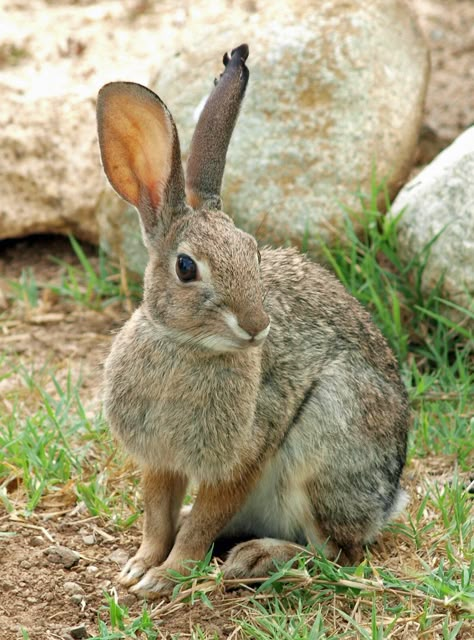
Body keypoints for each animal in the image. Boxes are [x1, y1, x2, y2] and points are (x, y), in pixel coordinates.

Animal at [95, 42, 408, 596]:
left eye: (254, 253)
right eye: (186, 267)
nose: (257, 325)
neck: (184, 346)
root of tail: (387, 503)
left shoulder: (245, 454)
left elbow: (202, 523)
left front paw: (166, 576)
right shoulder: (159, 460)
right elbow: (158, 516)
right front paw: (138, 568)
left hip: (328, 440)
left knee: (337, 553)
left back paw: (257, 559)